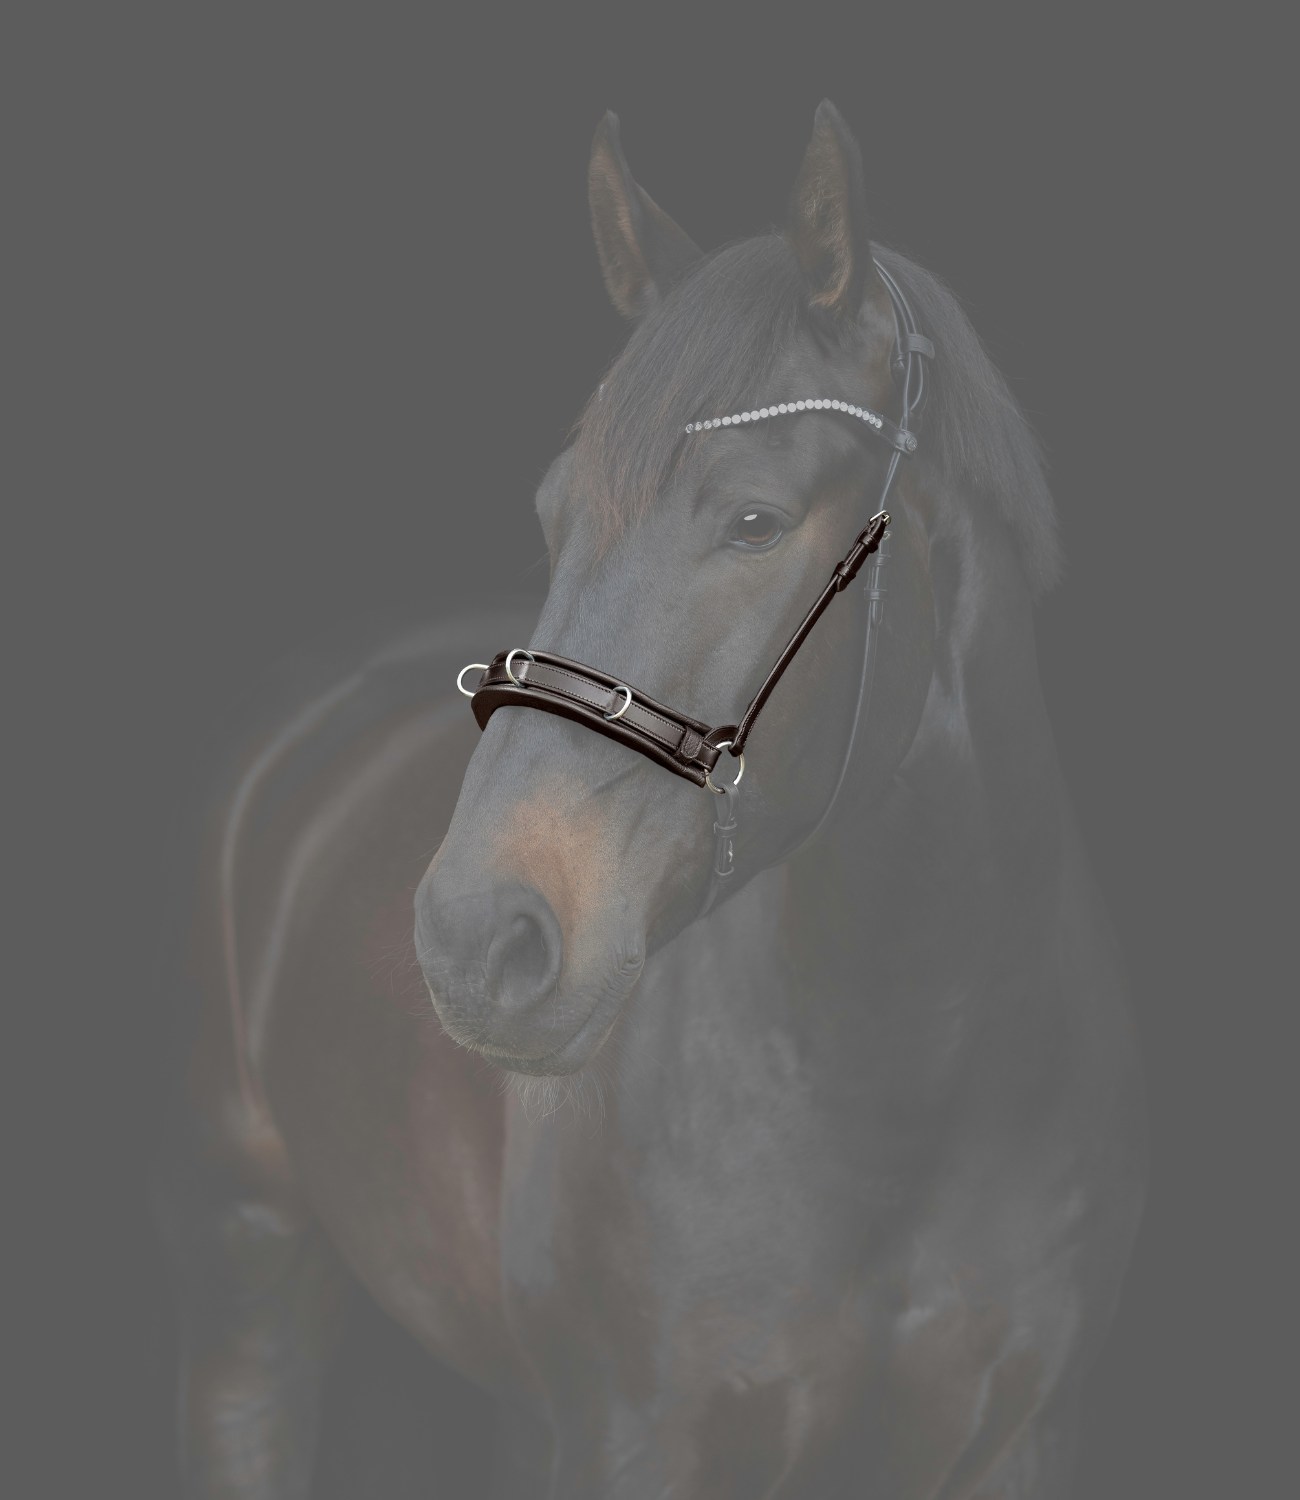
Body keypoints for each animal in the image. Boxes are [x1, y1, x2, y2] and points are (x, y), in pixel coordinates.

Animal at [157, 101, 1146, 1498]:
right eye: (552, 511)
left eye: (755, 519)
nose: (474, 940)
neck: (909, 1071)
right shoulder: (641, 1438)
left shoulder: (1022, 1437)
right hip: (247, 1258)